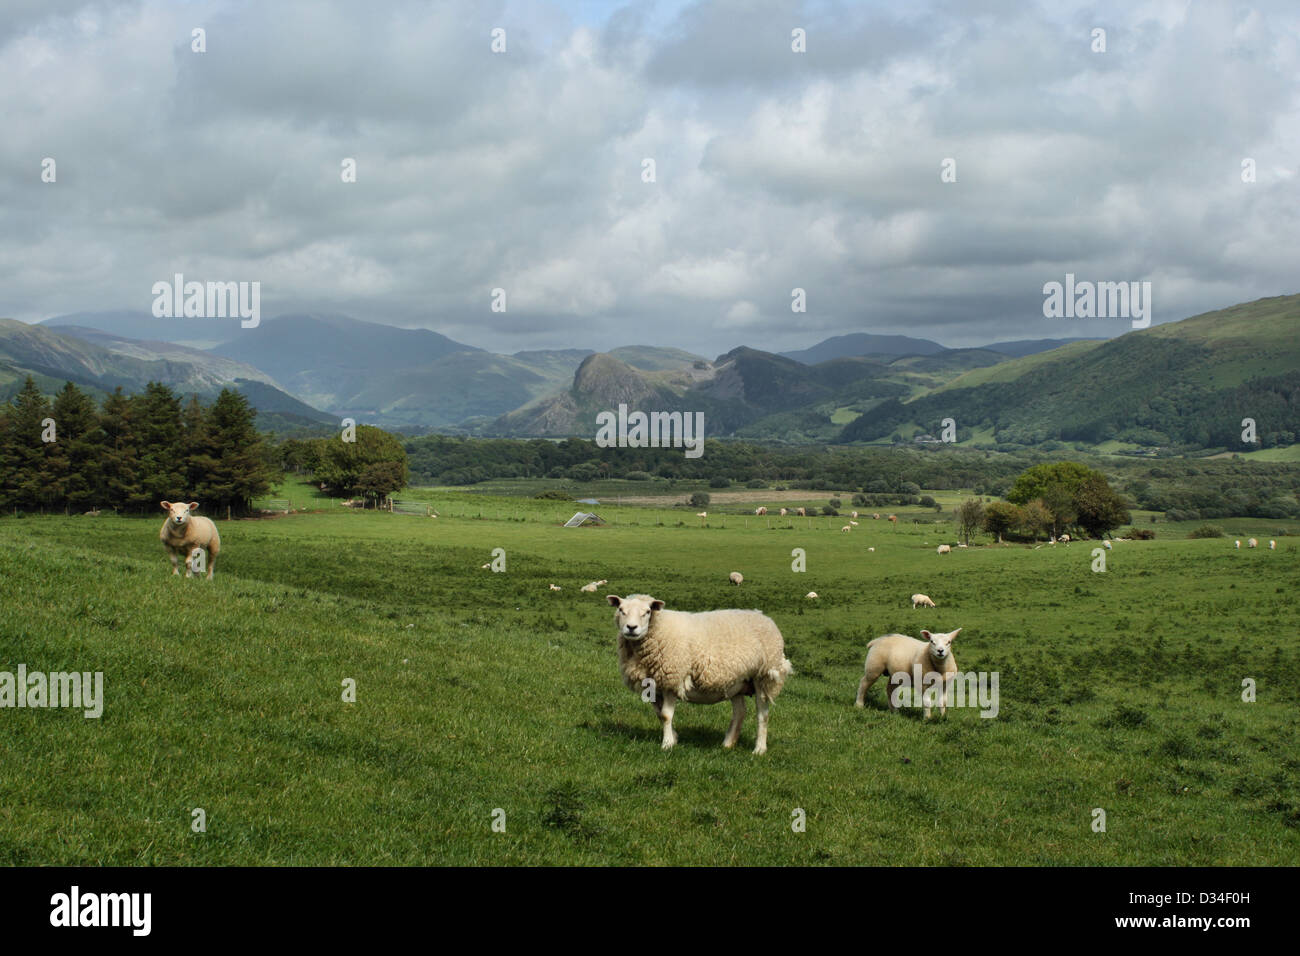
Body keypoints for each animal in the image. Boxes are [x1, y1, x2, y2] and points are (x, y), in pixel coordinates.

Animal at [607, 593, 793, 753]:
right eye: (621, 610)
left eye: (647, 611)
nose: (631, 628)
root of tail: (765, 618)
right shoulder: (652, 684)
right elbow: (660, 714)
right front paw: (674, 738)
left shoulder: (672, 679)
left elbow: (666, 716)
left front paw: (667, 744)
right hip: (737, 681)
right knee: (740, 711)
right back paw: (727, 743)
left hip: (765, 676)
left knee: (763, 714)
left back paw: (759, 749)